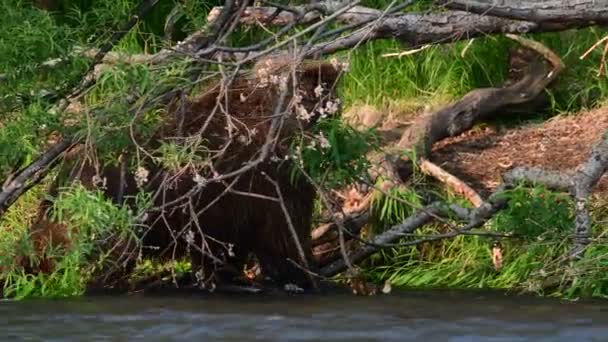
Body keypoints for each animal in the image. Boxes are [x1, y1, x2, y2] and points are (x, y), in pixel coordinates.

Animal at [25, 55, 346, 292]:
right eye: (327, 92)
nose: (335, 108)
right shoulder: (270, 178)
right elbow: (284, 237)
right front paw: (307, 276)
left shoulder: (231, 203)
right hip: (101, 206)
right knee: (99, 255)